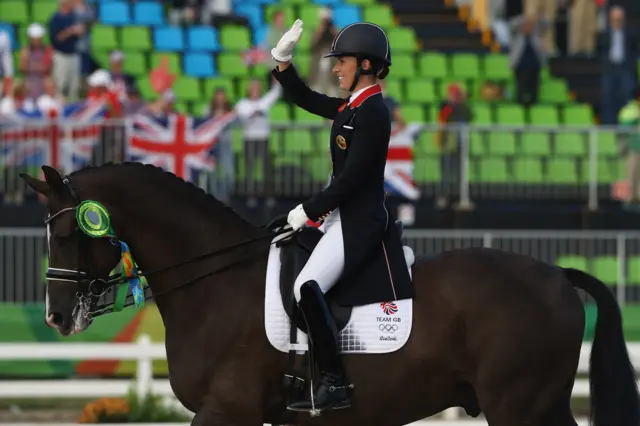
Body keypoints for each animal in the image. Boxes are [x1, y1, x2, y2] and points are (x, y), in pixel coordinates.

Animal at [20, 163, 640, 426]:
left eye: (68, 231)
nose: (55, 316)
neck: (215, 282)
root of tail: (557, 274)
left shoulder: (225, 411)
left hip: (520, 407)